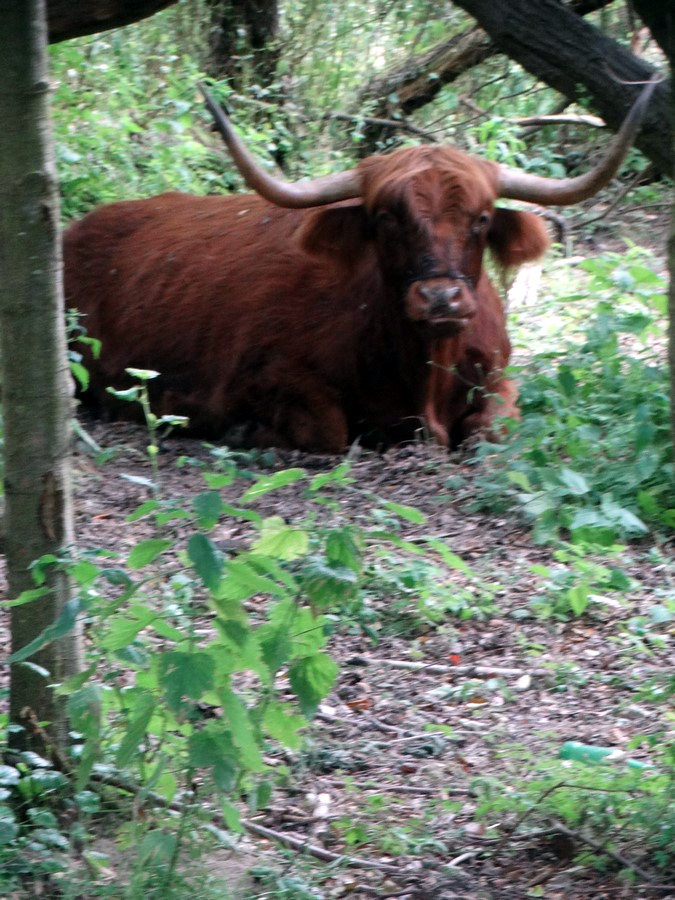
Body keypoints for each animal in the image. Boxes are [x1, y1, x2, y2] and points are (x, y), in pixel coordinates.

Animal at [63, 82, 656, 450]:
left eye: (482, 218)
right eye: (387, 218)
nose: (441, 298)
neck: (424, 373)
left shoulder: (498, 377)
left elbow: (493, 429)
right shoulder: (261, 375)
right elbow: (329, 431)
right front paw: (242, 432)